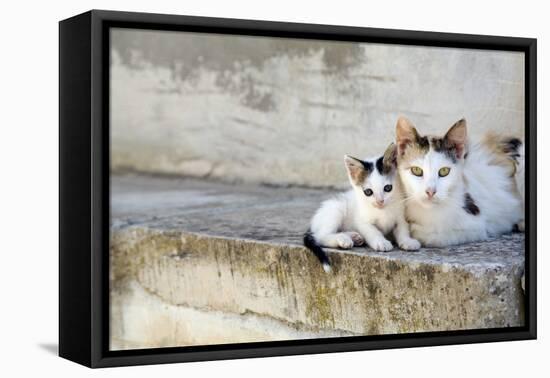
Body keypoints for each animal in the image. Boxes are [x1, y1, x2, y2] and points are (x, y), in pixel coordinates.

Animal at [304, 144, 420, 272]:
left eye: (388, 188)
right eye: (368, 192)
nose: (380, 201)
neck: (383, 210)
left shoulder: (401, 216)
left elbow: (403, 229)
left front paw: (407, 241)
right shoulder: (362, 221)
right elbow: (372, 231)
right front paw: (381, 242)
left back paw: (354, 237)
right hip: (336, 209)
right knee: (320, 236)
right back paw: (343, 239)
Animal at [396, 115, 528, 247]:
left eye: (444, 171)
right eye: (416, 170)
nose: (430, 192)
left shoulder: (477, 226)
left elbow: (438, 237)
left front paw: (416, 230)